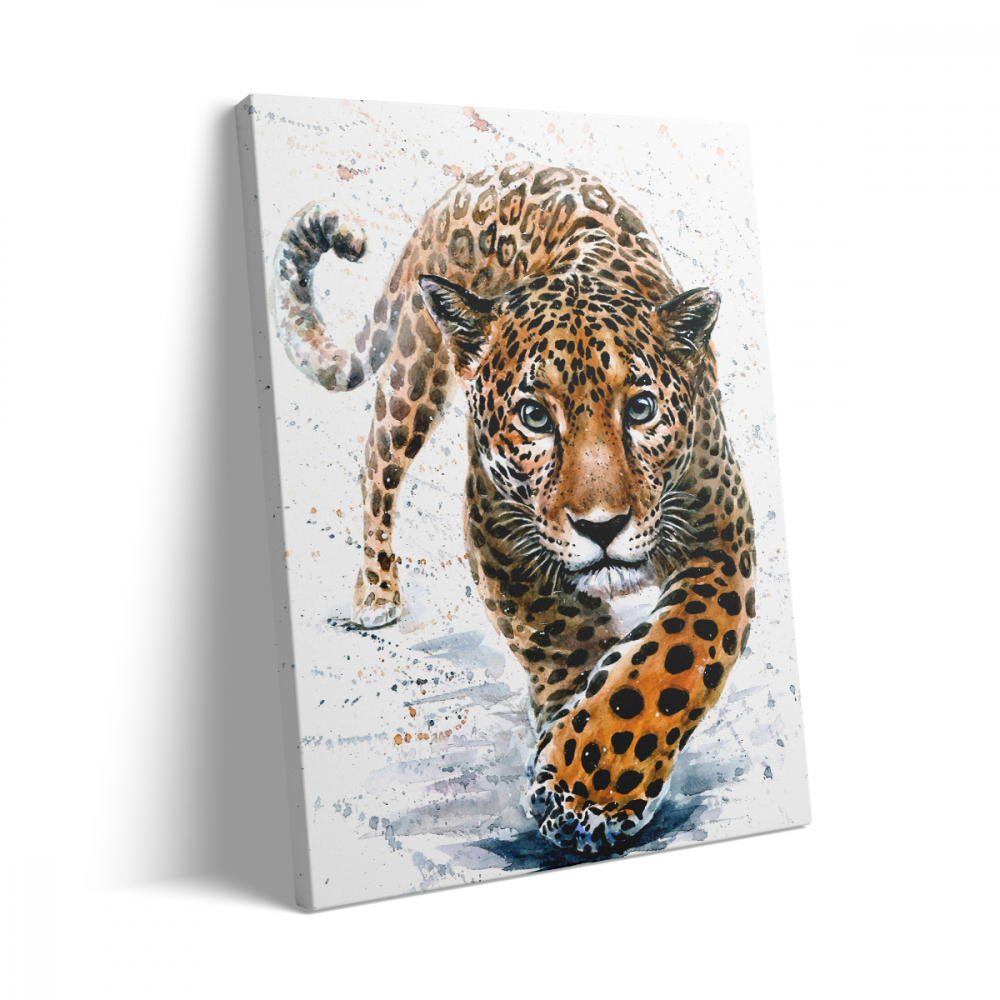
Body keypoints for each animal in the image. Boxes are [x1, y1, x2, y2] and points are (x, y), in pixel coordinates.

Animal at [271, 162, 756, 852]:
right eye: (534, 416)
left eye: (640, 409)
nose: (602, 527)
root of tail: (478, 175)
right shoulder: (498, 530)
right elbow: (565, 636)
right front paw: (578, 773)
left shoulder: (721, 535)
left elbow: (672, 657)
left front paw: (592, 786)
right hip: (414, 373)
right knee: (375, 466)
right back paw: (376, 593)